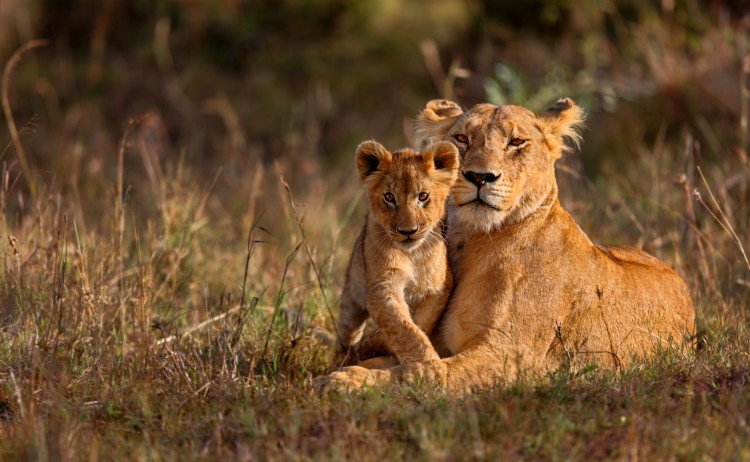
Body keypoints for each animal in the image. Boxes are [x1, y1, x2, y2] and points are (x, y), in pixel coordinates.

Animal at [332, 140, 459, 370]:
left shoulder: (440, 287)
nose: (408, 231)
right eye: (389, 197)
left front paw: (378, 344)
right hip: (351, 299)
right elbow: (404, 328)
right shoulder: (382, 287)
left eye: (423, 196)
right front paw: (428, 367)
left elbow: (420, 322)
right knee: (346, 336)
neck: (413, 255)